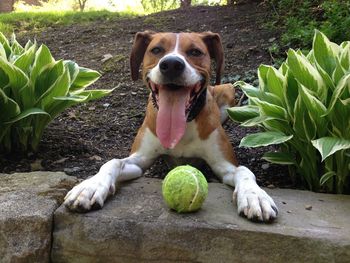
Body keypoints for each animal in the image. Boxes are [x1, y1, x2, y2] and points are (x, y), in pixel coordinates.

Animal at [63, 32, 278, 224]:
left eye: (195, 51)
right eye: (156, 49)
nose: (172, 64)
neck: (185, 123)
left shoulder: (224, 166)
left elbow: (243, 170)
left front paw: (255, 196)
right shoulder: (138, 161)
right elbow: (113, 162)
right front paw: (90, 186)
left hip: (227, 88)